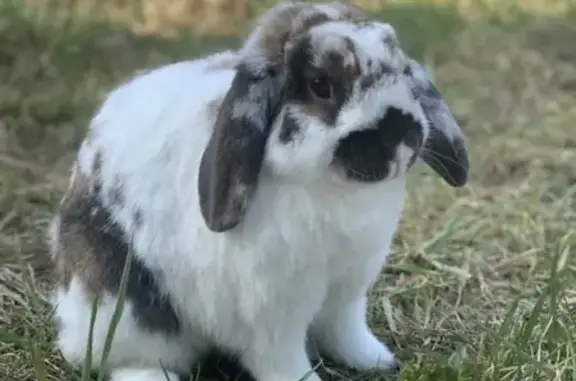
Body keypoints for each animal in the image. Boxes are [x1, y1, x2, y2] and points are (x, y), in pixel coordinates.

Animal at [49, 1, 468, 378]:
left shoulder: (347, 291)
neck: (330, 188)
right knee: (129, 360)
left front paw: (375, 361)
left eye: (403, 73)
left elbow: (345, 331)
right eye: (321, 85)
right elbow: (282, 360)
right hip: (122, 311)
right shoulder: (271, 314)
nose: (403, 139)